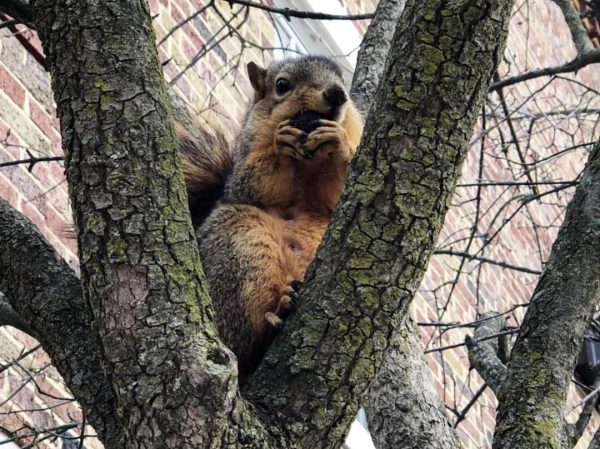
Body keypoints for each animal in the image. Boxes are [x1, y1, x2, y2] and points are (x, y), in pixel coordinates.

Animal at [178, 55, 364, 378]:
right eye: (282, 85)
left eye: (343, 83)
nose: (337, 94)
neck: (308, 163)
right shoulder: (245, 165)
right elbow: (251, 182)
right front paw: (281, 145)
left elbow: (338, 193)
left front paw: (338, 142)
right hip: (242, 246)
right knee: (244, 341)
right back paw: (277, 316)